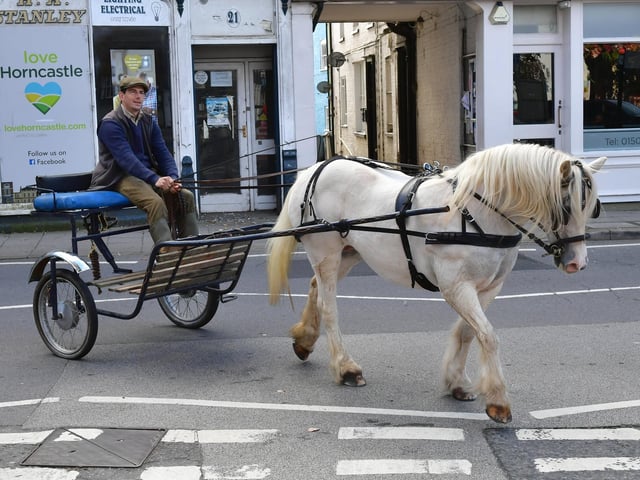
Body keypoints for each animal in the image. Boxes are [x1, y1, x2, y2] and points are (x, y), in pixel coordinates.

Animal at [266, 143, 606, 423]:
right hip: (326, 252)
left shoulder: (487, 288)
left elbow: (470, 332)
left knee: (315, 287)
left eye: (592, 207)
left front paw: (457, 381)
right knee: (329, 306)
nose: (577, 262)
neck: (475, 213)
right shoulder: (456, 286)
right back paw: (345, 367)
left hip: (351, 253)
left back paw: (305, 339)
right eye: (566, 205)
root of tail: (314, 170)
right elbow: (488, 336)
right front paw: (497, 400)